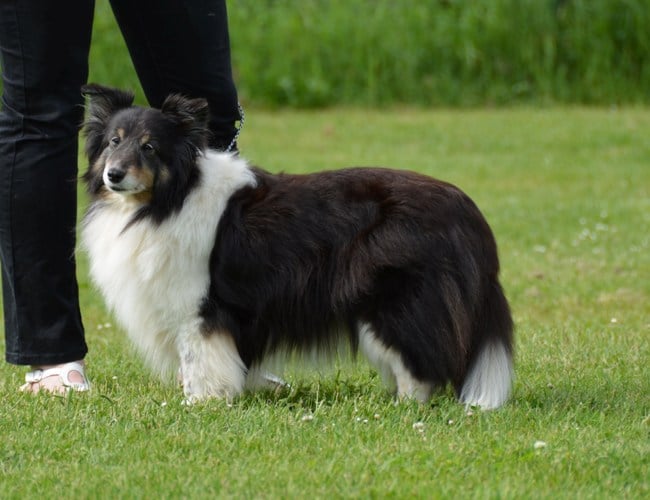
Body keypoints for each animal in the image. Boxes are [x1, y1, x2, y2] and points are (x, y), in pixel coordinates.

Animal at [79, 84, 512, 408]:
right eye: (113, 141)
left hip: (397, 304)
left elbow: (200, 359)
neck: (167, 200)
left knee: (419, 364)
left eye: (149, 147)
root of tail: (467, 211)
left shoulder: (197, 309)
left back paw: (406, 407)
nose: (113, 175)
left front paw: (200, 403)